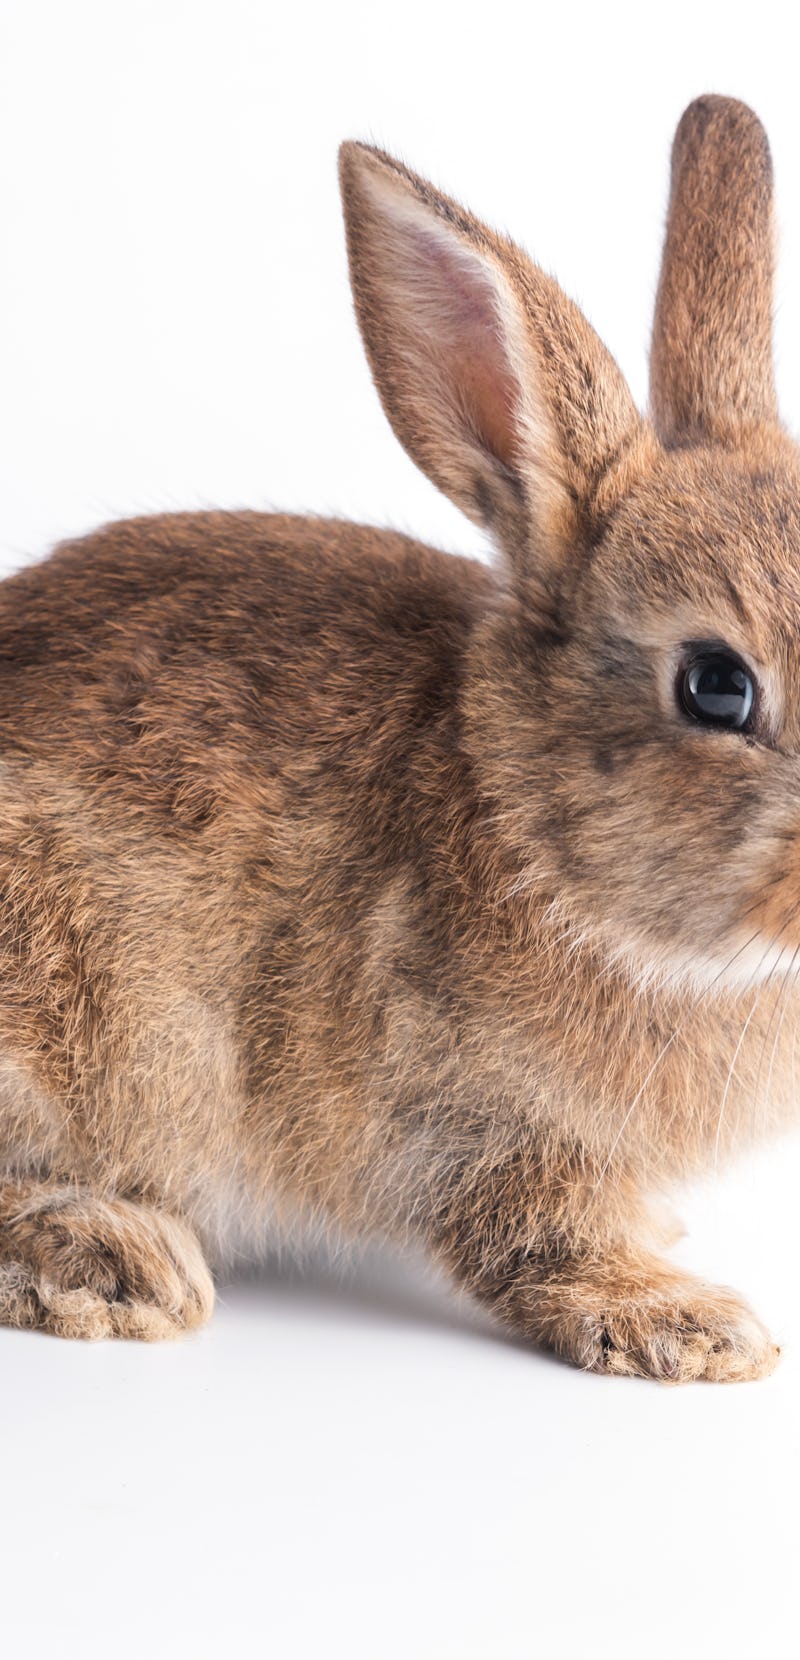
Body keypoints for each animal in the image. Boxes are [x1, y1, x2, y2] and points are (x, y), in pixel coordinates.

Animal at [0, 94, 793, 1387]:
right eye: (715, 687)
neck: (529, 828)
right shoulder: (480, 1118)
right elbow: (538, 1237)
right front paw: (687, 1322)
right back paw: (117, 1259)